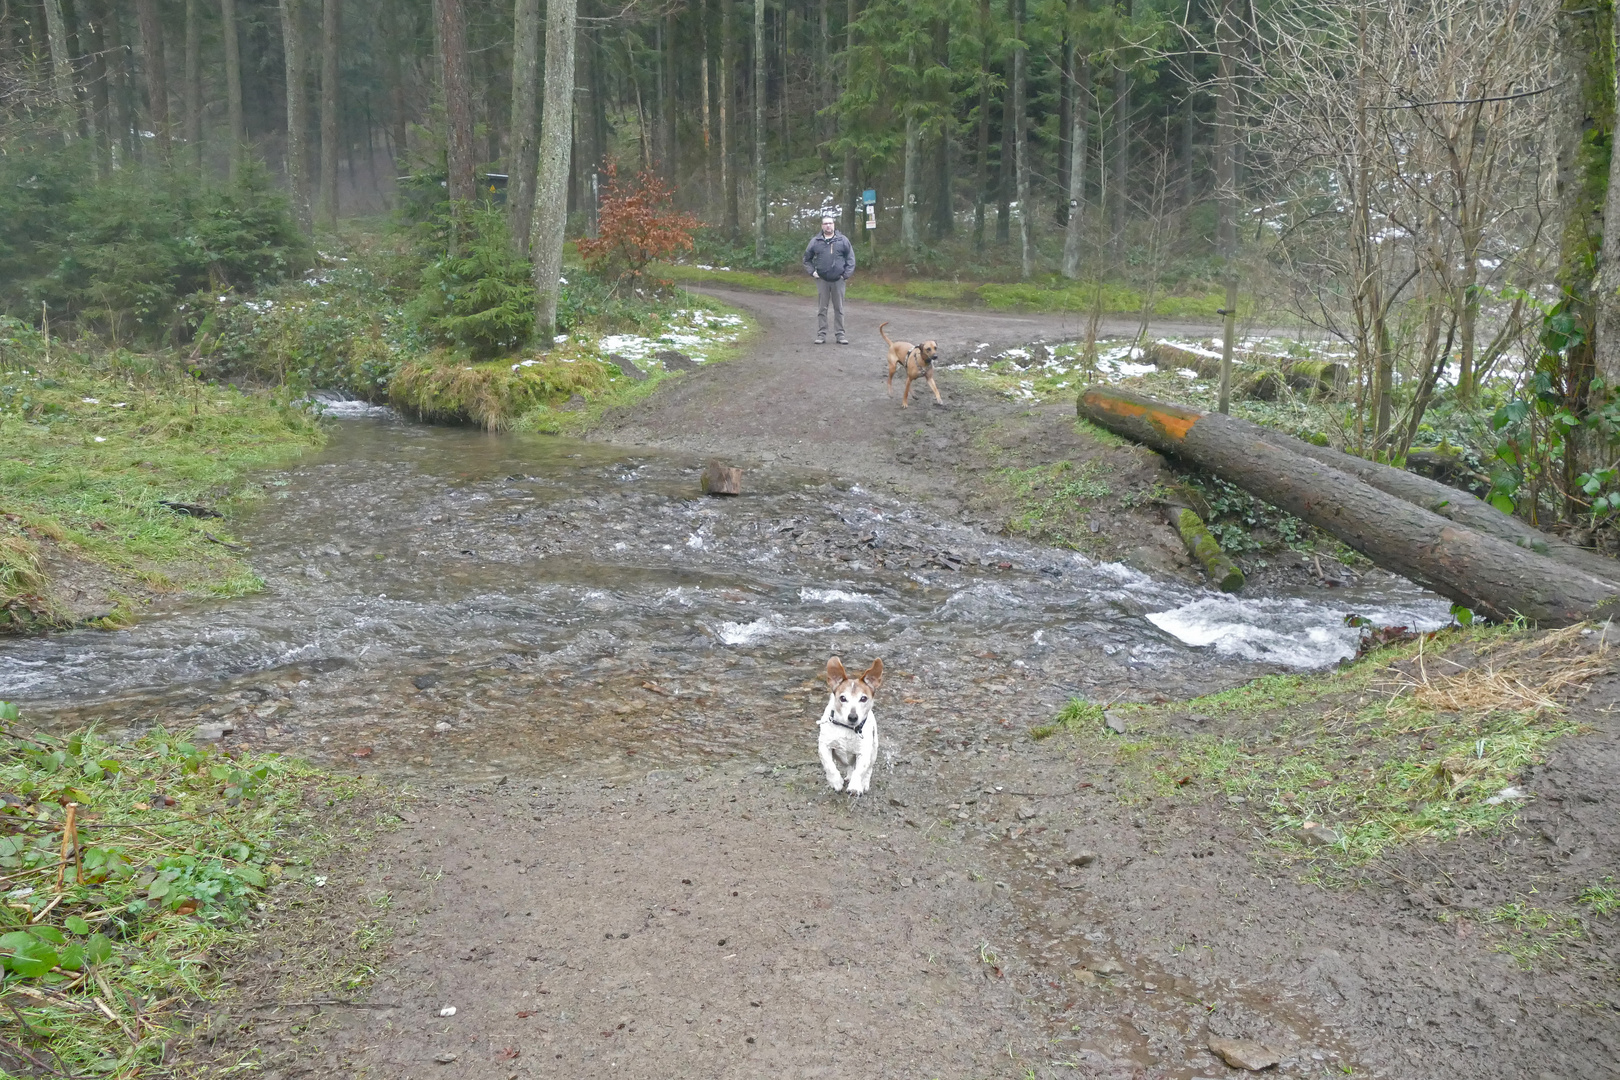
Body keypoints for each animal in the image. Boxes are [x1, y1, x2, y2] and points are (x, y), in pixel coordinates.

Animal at [822, 654, 887, 799]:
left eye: (863, 698)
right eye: (842, 698)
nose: (853, 717)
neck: (847, 729)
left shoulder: (864, 753)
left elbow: (860, 771)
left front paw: (856, 786)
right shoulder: (824, 746)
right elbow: (829, 765)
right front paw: (836, 781)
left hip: (873, 752)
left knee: (868, 770)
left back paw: (864, 783)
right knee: (849, 767)